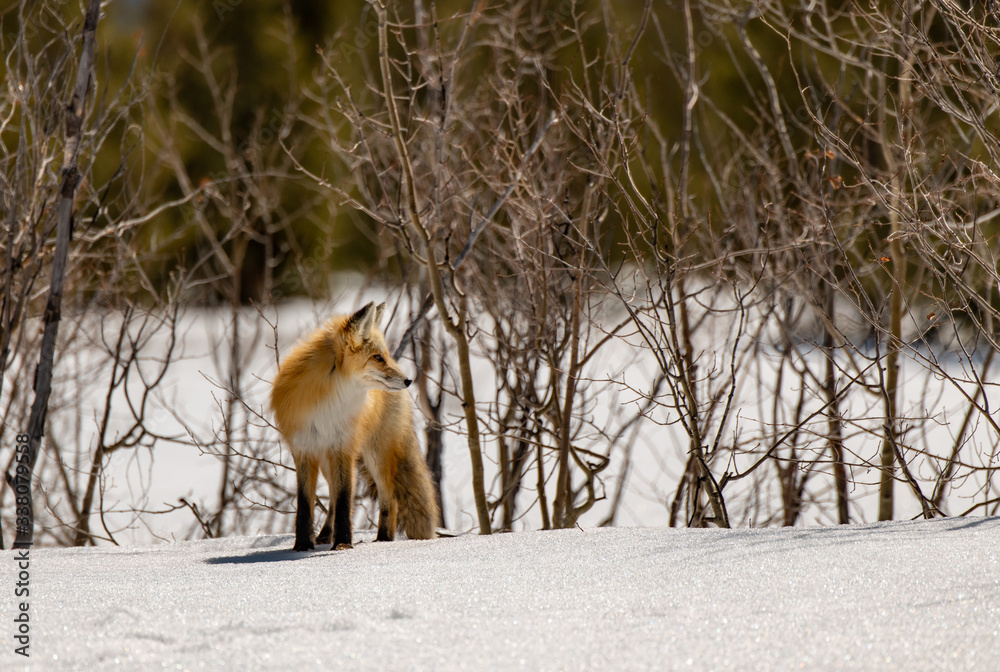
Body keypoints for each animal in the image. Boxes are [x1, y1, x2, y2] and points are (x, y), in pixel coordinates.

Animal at [269, 301, 439, 551]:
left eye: (385, 355)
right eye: (377, 357)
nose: (408, 380)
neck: (330, 401)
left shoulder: (344, 448)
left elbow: (344, 501)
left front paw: (342, 544)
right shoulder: (304, 450)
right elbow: (305, 505)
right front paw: (303, 546)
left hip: (375, 455)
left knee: (391, 499)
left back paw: (383, 539)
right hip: (328, 460)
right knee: (332, 496)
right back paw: (324, 536)